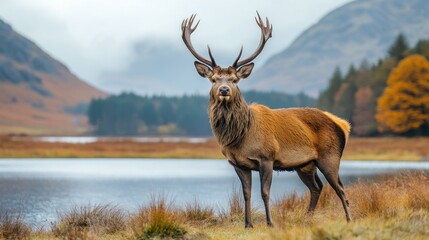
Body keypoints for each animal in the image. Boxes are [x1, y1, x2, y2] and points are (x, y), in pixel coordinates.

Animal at [181, 12, 352, 228]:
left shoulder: (267, 157)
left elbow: (264, 192)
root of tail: (342, 124)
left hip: (330, 156)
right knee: (317, 187)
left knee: (340, 188)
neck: (240, 136)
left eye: (235, 80)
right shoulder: (238, 163)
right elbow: (246, 194)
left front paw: (270, 223)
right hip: (305, 164)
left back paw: (349, 218)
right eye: (213, 79)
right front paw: (248, 224)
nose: (224, 90)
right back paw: (308, 218)